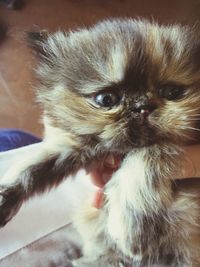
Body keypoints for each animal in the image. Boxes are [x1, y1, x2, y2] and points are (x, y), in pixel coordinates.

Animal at [0, 18, 200, 266]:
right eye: (106, 99)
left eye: (171, 92)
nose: (142, 106)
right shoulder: (75, 145)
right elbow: (32, 166)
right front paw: (3, 198)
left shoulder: (171, 148)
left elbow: (146, 154)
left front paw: (130, 228)